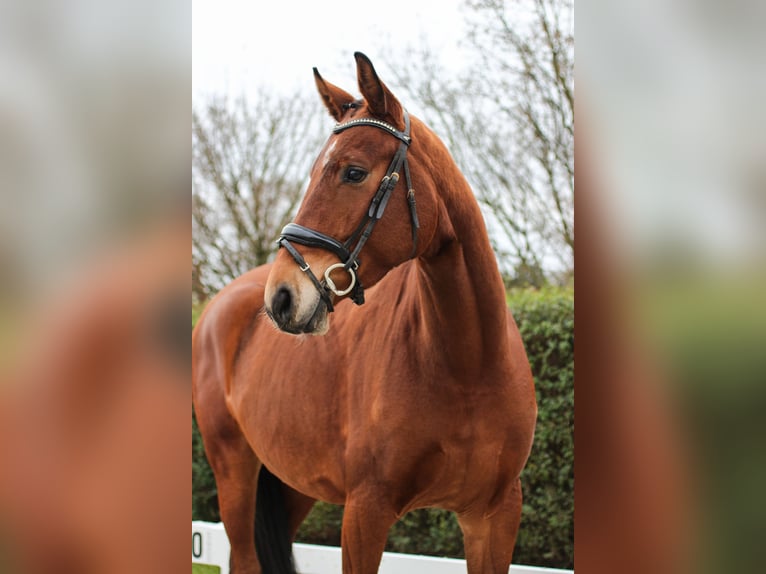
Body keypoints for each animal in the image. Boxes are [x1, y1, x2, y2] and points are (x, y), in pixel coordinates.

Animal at [192, 51, 540, 572]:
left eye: (353, 172)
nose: (281, 298)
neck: (468, 366)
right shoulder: (365, 512)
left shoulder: (494, 517)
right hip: (233, 471)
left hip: (295, 487)